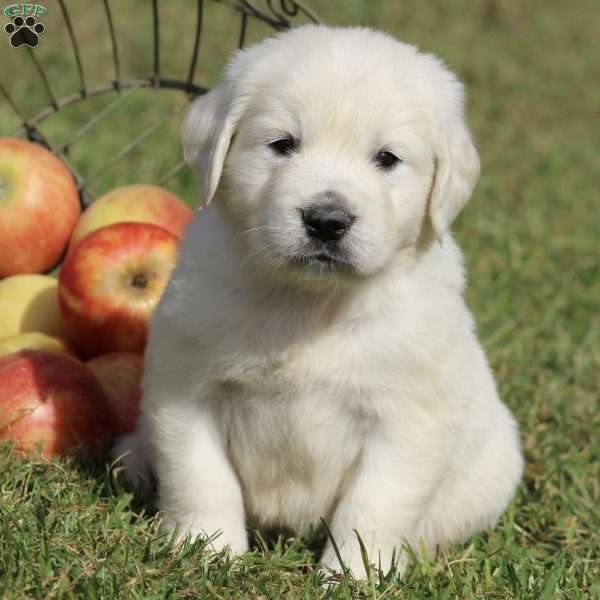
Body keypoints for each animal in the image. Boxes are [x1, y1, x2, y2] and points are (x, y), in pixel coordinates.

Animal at [115, 24, 524, 576]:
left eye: (387, 158)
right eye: (282, 145)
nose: (327, 221)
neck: (309, 302)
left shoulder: (406, 421)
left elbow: (372, 507)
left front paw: (356, 576)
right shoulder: (186, 388)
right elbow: (200, 476)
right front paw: (208, 553)